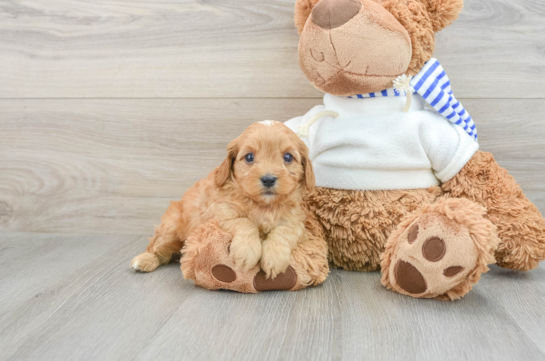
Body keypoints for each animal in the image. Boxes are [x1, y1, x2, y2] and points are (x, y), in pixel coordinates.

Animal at [132, 120, 316, 278]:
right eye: (249, 157)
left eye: (288, 157)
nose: (268, 179)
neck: (264, 205)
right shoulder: (220, 215)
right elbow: (245, 222)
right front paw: (246, 252)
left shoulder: (296, 223)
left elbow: (284, 231)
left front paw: (274, 258)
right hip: (170, 227)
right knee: (159, 249)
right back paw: (143, 260)